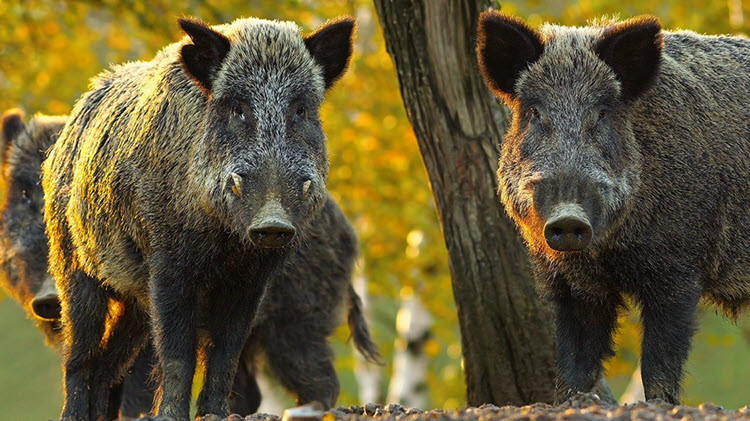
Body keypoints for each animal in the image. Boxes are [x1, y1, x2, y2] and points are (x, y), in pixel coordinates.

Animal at [42, 15, 357, 420]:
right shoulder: (167, 263)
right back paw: (73, 413)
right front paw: (171, 415)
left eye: (301, 110)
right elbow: (178, 352)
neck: (225, 242)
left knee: (108, 364)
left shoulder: (252, 278)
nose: (273, 222)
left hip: (134, 296)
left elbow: (225, 353)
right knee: (80, 354)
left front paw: (215, 414)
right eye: (237, 108)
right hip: (72, 262)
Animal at [477, 12, 749, 404]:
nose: (568, 218)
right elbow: (576, 360)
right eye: (534, 112)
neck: (606, 252)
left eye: (602, 112)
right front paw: (572, 401)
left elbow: (659, 360)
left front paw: (661, 403)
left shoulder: (679, 267)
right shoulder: (569, 282)